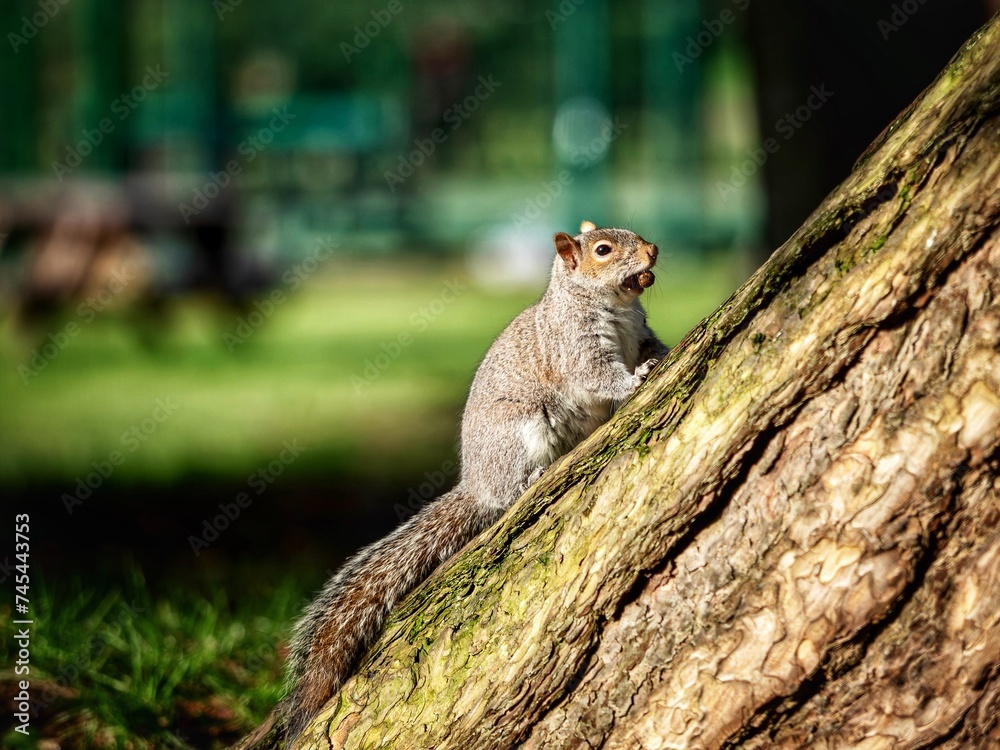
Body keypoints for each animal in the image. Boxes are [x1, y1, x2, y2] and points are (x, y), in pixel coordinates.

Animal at [238, 220, 668, 748]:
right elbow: (598, 376)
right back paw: (530, 477)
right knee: (506, 492)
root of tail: (475, 482)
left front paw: (657, 358)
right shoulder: (574, 347)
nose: (652, 251)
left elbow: (648, 345)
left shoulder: (638, 330)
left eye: (634, 235)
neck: (611, 307)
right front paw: (634, 381)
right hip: (520, 431)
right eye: (603, 250)